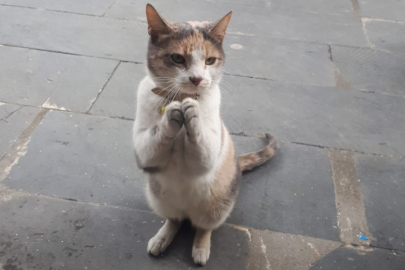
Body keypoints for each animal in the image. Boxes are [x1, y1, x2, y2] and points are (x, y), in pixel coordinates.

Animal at [133, 3, 278, 266]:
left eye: (210, 60)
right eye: (177, 58)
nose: (197, 79)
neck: (181, 96)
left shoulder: (208, 153)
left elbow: (200, 143)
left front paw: (192, 112)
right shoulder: (144, 153)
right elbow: (156, 137)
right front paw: (171, 114)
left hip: (217, 206)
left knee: (203, 226)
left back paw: (200, 249)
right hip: (157, 197)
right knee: (174, 219)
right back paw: (162, 238)